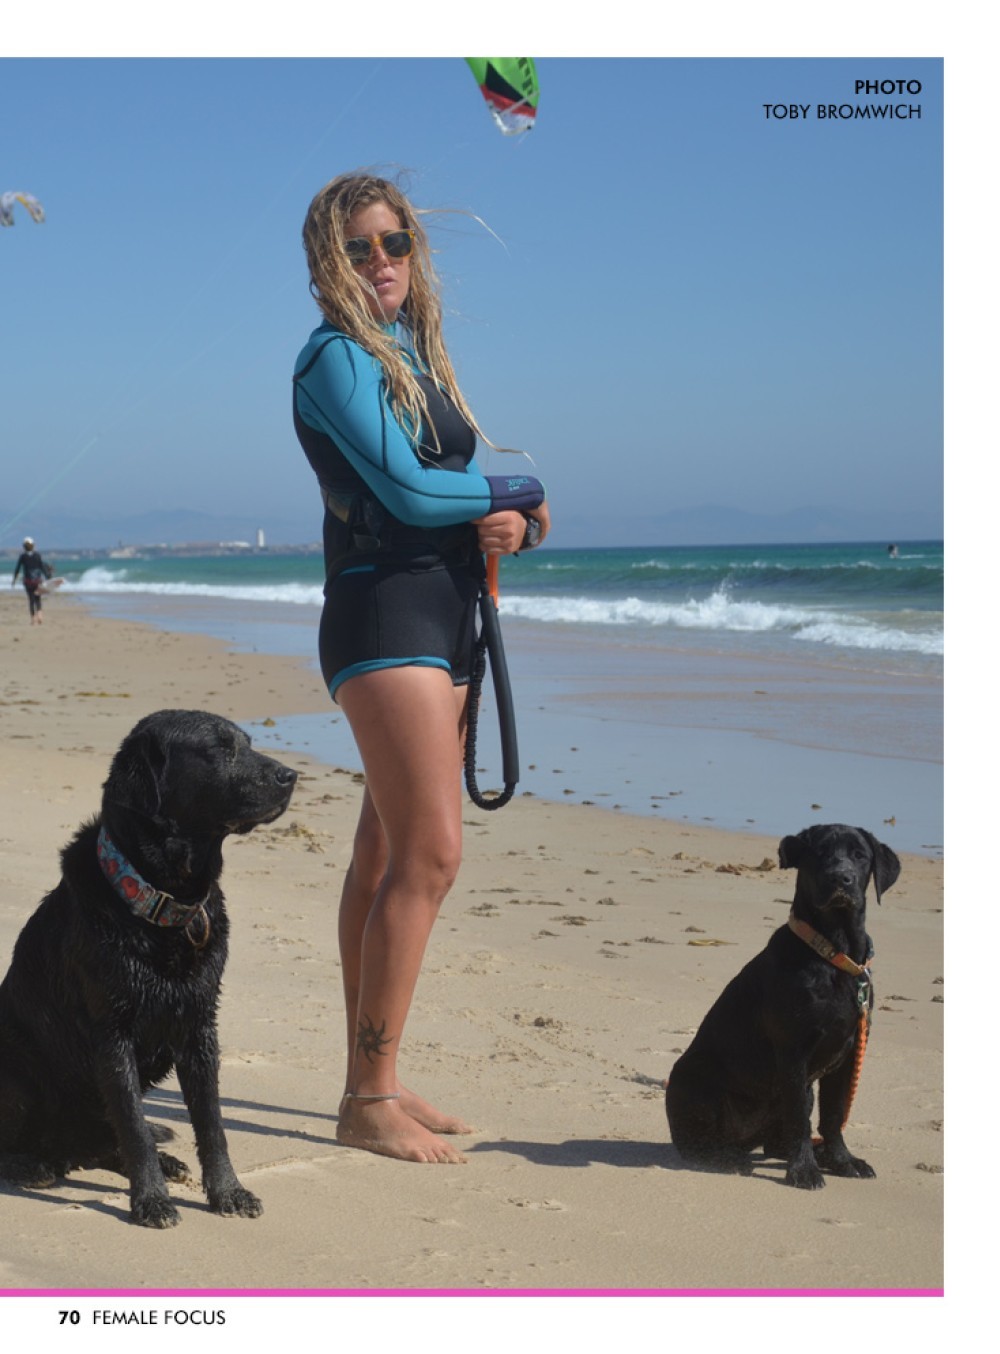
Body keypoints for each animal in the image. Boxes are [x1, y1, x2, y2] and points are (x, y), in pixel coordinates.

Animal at [0, 710, 296, 1227]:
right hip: (16, 1071)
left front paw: (228, 1192)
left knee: (103, 1142)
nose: (291, 776)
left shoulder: (200, 1029)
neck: (163, 903)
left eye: (247, 742)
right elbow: (135, 1126)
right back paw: (32, 1165)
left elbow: (211, 1124)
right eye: (219, 748)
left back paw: (163, 1161)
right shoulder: (112, 1035)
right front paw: (151, 1200)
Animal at [665, 824, 900, 1189]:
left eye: (860, 855)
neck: (834, 953)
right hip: (692, 1085)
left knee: (778, 1140)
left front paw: (842, 1160)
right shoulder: (793, 1053)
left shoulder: (847, 1055)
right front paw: (804, 1171)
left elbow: (833, 1116)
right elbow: (800, 1121)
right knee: (701, 1145)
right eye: (819, 853)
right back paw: (729, 1159)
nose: (841, 878)